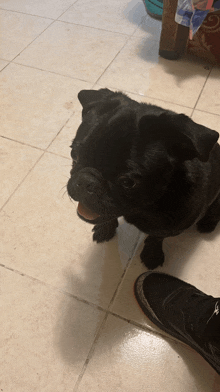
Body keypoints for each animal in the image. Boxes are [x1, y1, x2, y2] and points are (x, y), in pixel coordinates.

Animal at [67, 88, 220, 270]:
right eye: (74, 155)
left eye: (128, 182)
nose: (85, 180)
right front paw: (105, 229)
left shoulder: (168, 229)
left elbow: (155, 238)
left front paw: (151, 255)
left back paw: (208, 222)